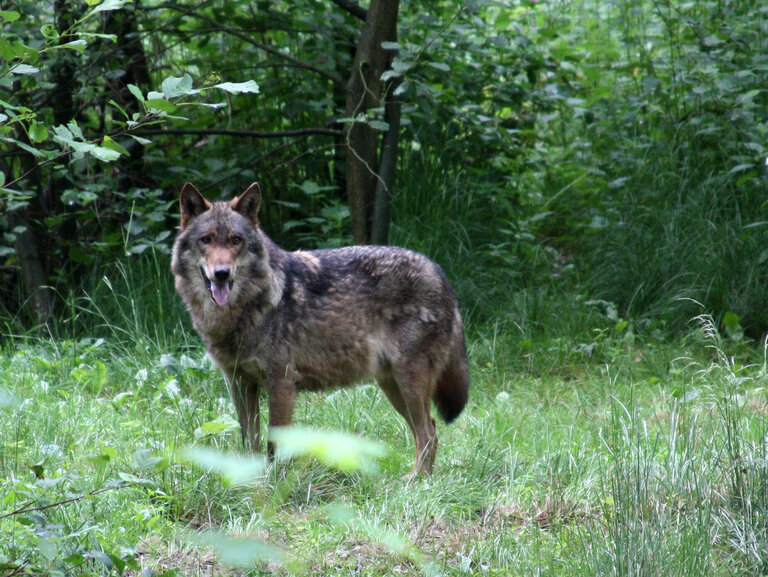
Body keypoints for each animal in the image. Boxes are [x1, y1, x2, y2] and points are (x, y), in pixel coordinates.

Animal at [172, 182, 468, 474]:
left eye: (236, 240)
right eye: (206, 240)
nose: (221, 274)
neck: (244, 310)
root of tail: (439, 272)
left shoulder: (281, 382)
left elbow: (273, 445)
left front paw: (274, 481)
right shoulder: (239, 383)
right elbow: (250, 442)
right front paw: (250, 479)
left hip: (409, 381)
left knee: (427, 431)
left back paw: (418, 482)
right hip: (392, 385)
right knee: (428, 430)